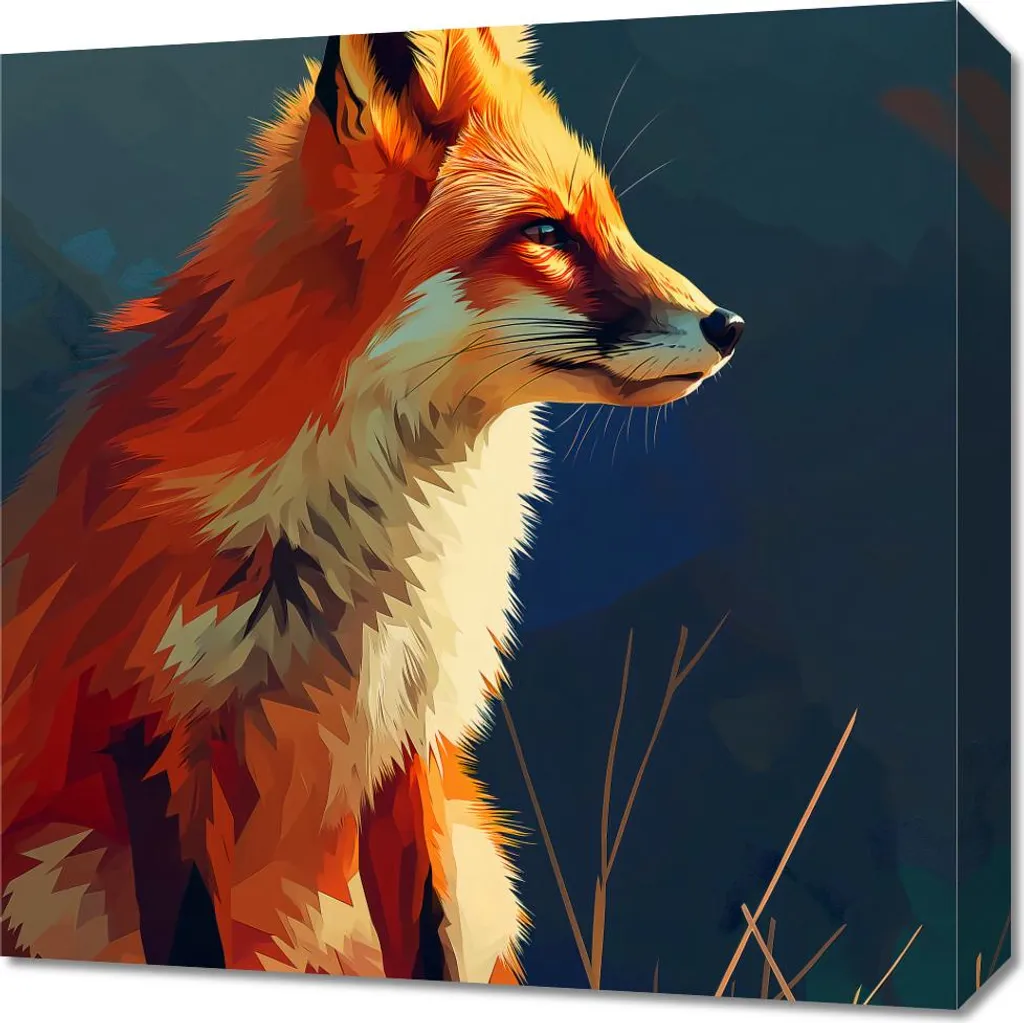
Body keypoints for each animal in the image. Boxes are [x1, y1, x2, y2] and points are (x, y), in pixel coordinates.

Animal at [1, 27, 743, 981]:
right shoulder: (155, 735)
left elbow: (429, 943)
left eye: (614, 221)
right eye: (545, 233)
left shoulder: (413, 735)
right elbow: (196, 938)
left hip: (478, 853)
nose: (730, 326)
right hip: (61, 868)